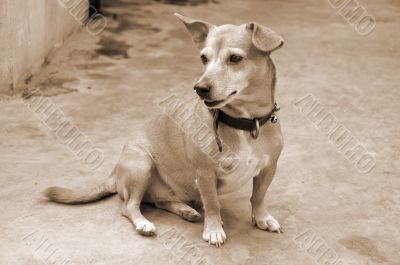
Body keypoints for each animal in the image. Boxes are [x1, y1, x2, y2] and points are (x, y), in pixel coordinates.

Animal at [45, 13, 284, 246]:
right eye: (203, 59)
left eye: (235, 58)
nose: (200, 88)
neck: (245, 123)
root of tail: (114, 173)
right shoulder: (205, 174)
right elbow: (212, 204)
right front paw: (214, 230)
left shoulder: (268, 169)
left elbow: (258, 197)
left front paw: (262, 218)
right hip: (142, 164)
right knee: (129, 206)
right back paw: (144, 223)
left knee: (161, 201)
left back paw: (185, 210)